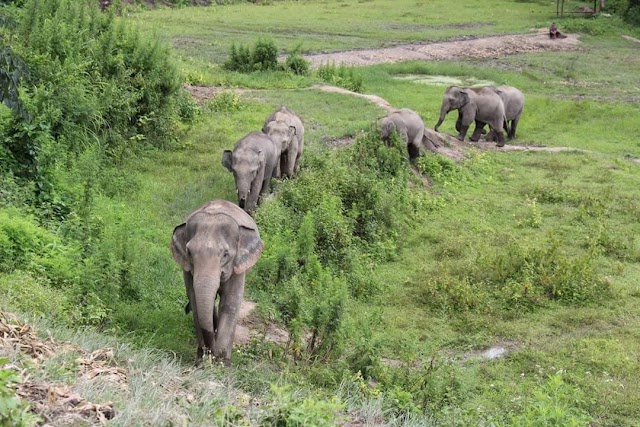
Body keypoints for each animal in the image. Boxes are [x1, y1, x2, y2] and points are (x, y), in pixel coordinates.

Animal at [171, 200, 264, 364]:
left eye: (225, 254)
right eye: (189, 253)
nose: (210, 352)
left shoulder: (236, 267)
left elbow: (230, 303)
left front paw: (221, 363)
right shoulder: (187, 268)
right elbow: (195, 300)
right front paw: (201, 362)